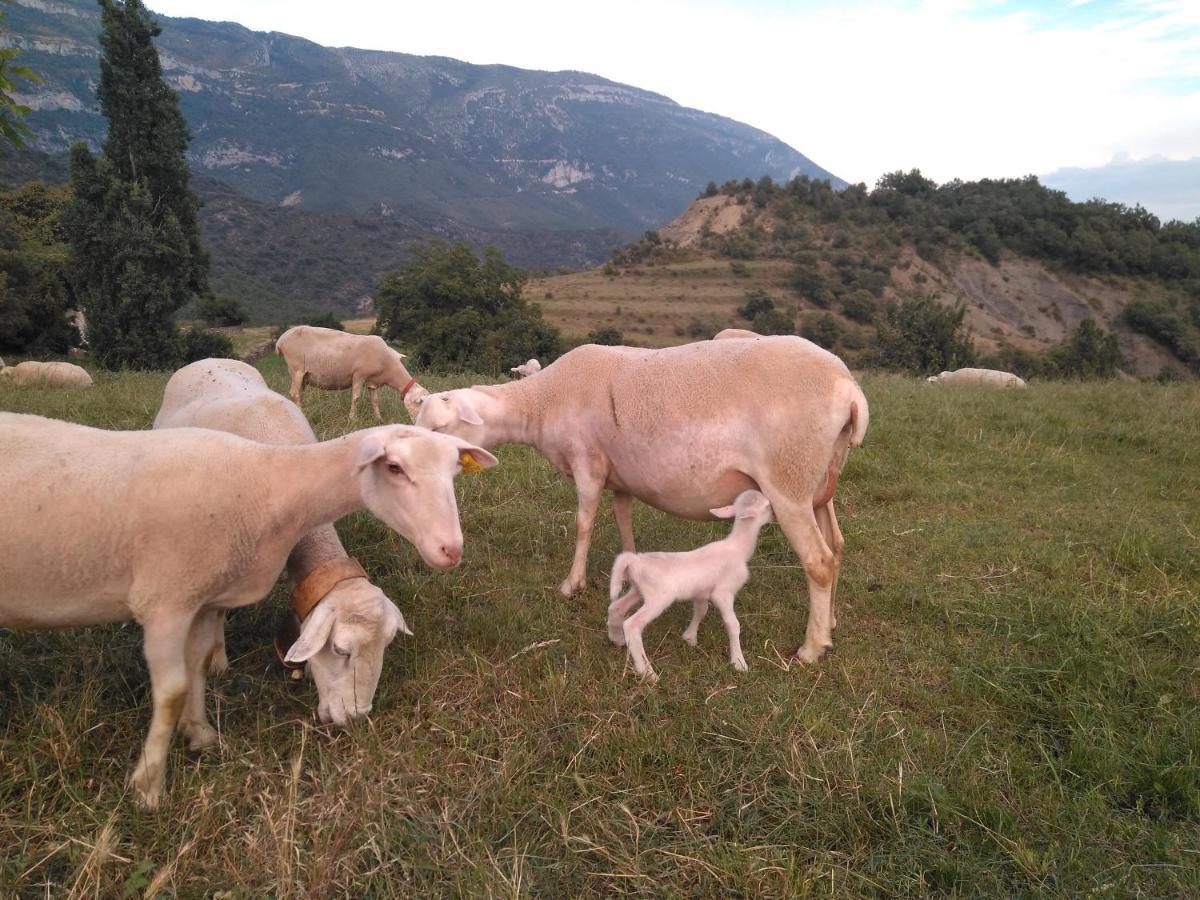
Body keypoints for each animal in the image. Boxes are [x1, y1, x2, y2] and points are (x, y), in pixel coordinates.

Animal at [0, 412, 496, 806]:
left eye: (454, 471)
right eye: (394, 467)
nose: (451, 549)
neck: (268, 485)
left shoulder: (204, 597)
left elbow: (198, 664)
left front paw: (201, 736)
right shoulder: (166, 601)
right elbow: (171, 691)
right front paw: (148, 789)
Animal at [276, 324, 432, 422]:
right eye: (420, 405)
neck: (389, 367)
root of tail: (280, 340)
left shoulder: (372, 382)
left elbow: (375, 401)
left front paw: (379, 419)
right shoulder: (358, 375)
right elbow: (356, 398)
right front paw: (353, 419)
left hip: (303, 375)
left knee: (298, 393)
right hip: (296, 369)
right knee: (295, 393)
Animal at [609, 489, 777, 681]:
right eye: (767, 506)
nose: (776, 516)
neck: (738, 548)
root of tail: (633, 561)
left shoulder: (701, 592)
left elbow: (701, 611)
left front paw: (689, 637)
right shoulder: (723, 592)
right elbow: (733, 624)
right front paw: (739, 662)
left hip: (638, 589)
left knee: (615, 607)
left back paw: (617, 639)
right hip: (658, 597)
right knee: (632, 625)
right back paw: (647, 672)